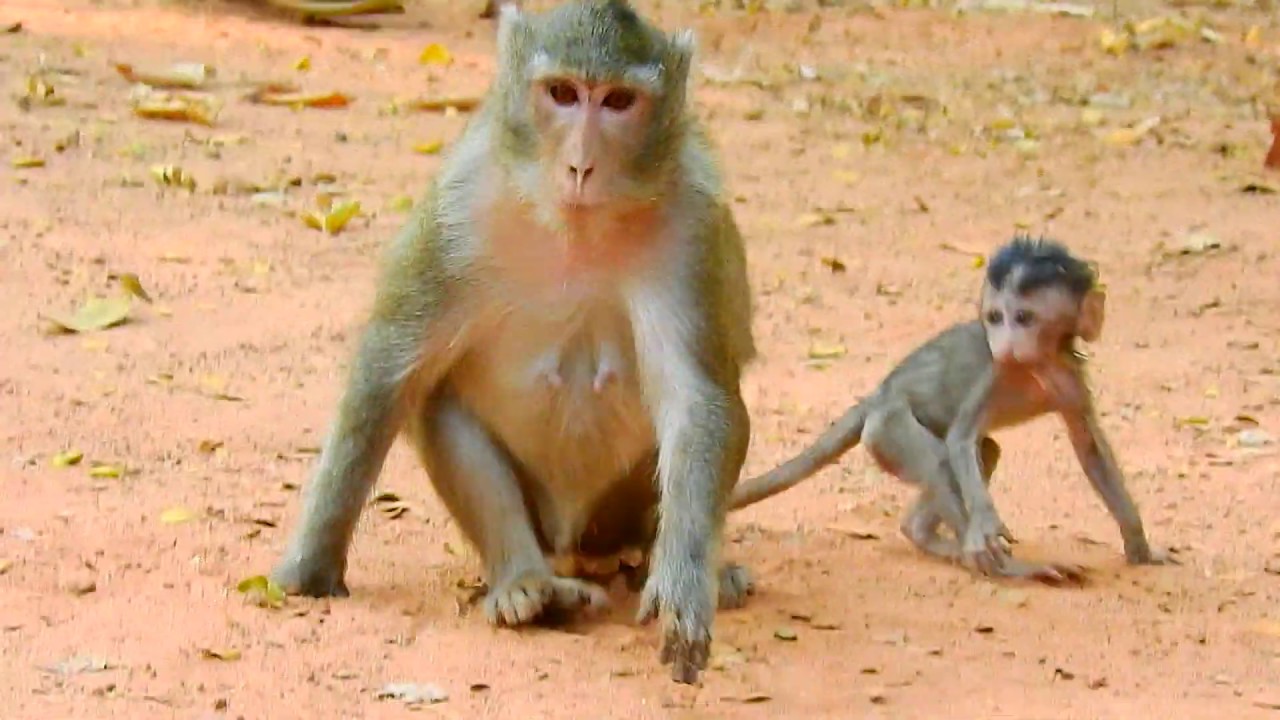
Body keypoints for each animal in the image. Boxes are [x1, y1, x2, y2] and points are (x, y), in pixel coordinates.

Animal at [269, 0, 755, 685]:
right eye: (562, 93)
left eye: (618, 101)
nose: (581, 165)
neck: (575, 227)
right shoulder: (458, 209)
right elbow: (389, 367)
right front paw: (311, 566)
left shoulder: (693, 225)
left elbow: (697, 403)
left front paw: (684, 587)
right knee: (437, 402)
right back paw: (529, 586)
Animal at [729, 236, 1173, 585]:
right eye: (995, 317)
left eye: (1023, 317)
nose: (1005, 345)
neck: (1036, 369)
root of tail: (880, 393)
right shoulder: (995, 372)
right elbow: (961, 440)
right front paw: (987, 529)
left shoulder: (1070, 378)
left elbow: (1090, 449)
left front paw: (1141, 549)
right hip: (888, 427)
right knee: (945, 458)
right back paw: (1002, 566)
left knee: (985, 451)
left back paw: (926, 536)